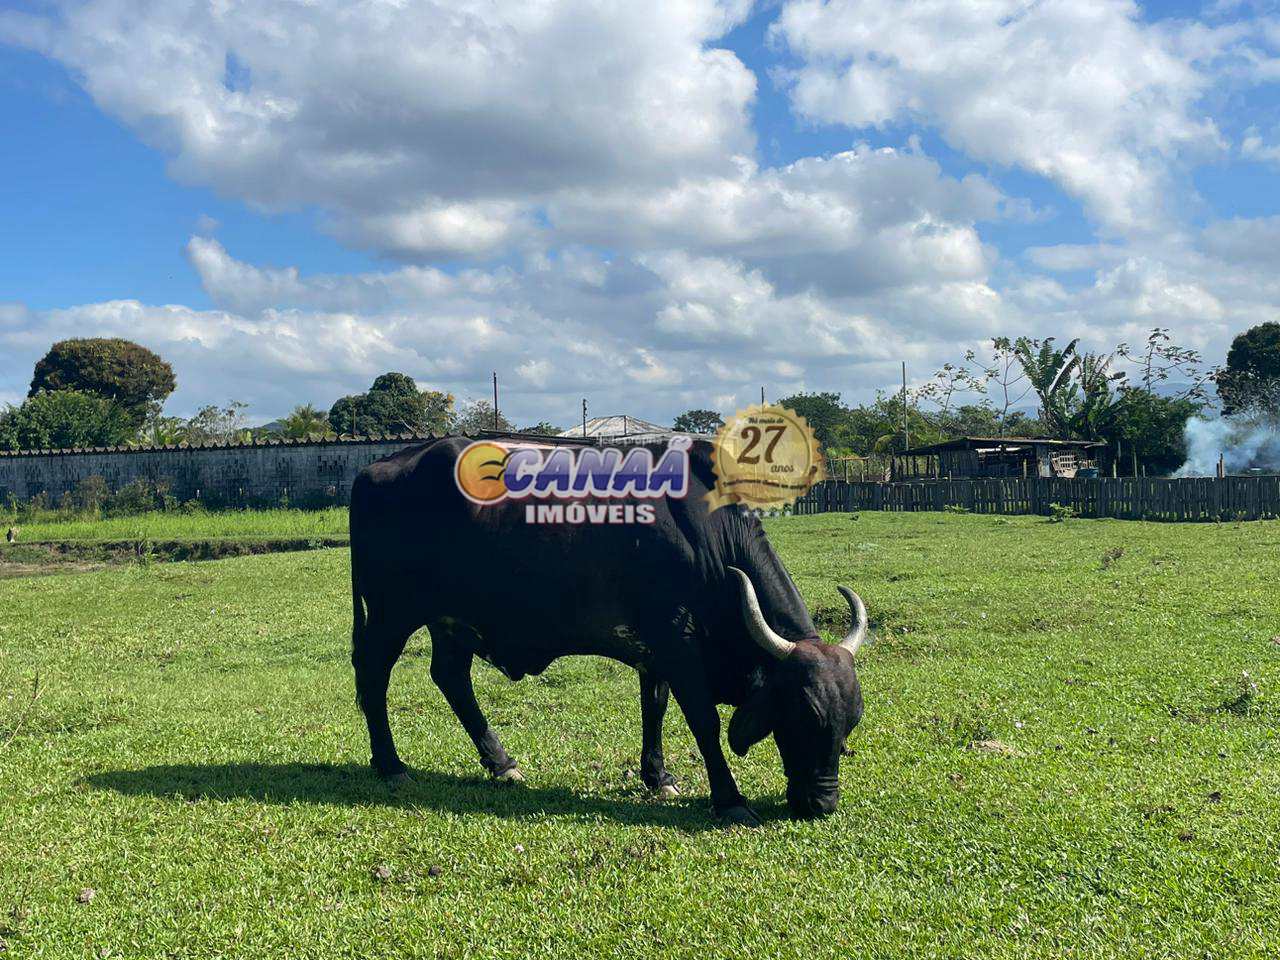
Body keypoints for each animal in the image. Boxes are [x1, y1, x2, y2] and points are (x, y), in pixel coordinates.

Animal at [348, 440, 870, 824]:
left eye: (851, 723)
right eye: (805, 717)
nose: (821, 804)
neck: (706, 538)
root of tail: (377, 469)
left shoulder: (655, 650)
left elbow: (654, 708)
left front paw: (658, 776)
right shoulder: (678, 643)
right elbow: (703, 721)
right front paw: (730, 799)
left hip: (451, 621)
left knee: (451, 678)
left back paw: (501, 763)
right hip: (394, 613)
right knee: (374, 673)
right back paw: (391, 764)